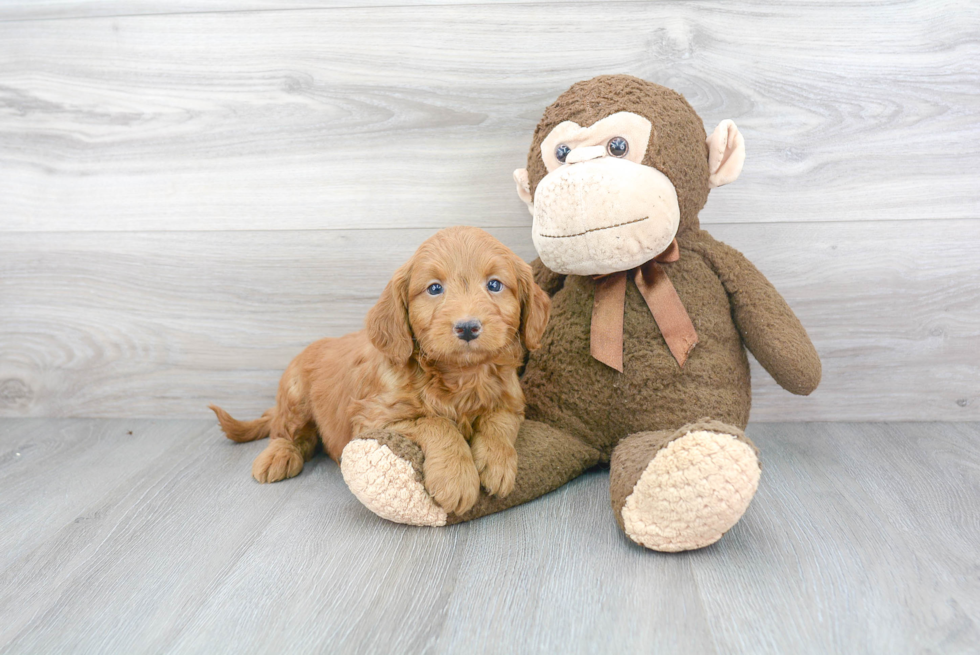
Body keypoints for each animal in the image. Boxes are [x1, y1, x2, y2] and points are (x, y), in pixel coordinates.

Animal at [210, 228, 552, 516]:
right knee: (283, 431)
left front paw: (496, 463)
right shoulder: (374, 417)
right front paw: (455, 477)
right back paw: (279, 456)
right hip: (295, 394)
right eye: (434, 288)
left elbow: (498, 422)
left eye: (494, 284)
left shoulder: (511, 402)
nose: (467, 327)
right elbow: (436, 422)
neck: (460, 375)